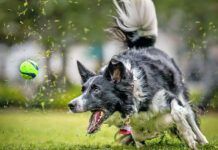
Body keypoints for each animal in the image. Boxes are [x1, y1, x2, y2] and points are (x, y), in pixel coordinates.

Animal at [68, 0, 208, 148]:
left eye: (96, 90)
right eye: (82, 90)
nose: (71, 105)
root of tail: (144, 46)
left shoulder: (167, 97)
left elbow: (176, 113)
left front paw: (188, 136)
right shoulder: (133, 123)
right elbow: (137, 134)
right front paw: (148, 134)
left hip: (181, 94)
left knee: (190, 116)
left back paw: (201, 140)